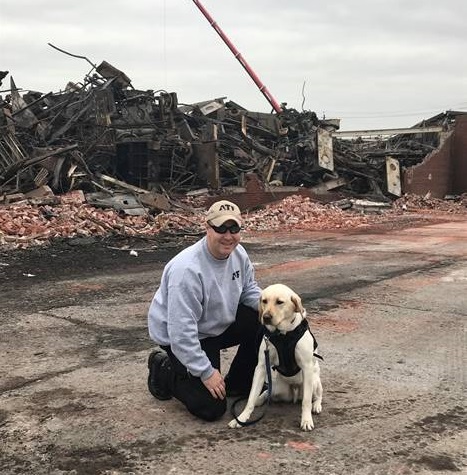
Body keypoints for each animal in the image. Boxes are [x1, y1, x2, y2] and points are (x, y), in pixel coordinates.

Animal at [229, 284, 324, 434]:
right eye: (264, 301)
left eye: (280, 302)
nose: (266, 317)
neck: (283, 335)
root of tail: (294, 393)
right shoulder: (261, 367)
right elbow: (251, 397)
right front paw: (241, 418)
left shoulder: (307, 367)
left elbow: (306, 401)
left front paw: (306, 420)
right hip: (277, 388)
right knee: (267, 391)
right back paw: (260, 400)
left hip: (314, 382)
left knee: (317, 395)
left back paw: (316, 406)